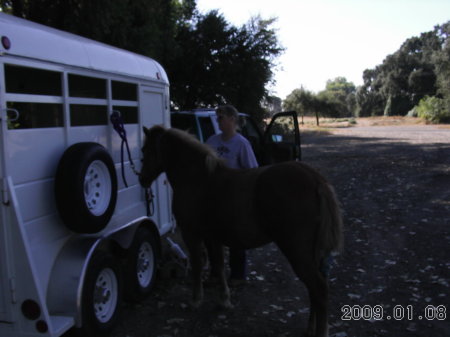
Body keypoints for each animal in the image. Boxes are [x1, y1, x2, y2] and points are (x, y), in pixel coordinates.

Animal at [139, 125, 342, 336]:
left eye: (145, 150)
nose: (142, 178)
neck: (199, 180)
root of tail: (315, 179)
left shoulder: (191, 234)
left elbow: (197, 265)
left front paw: (196, 300)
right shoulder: (213, 237)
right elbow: (219, 265)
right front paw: (224, 300)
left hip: (297, 250)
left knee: (319, 288)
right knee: (315, 289)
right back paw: (310, 327)